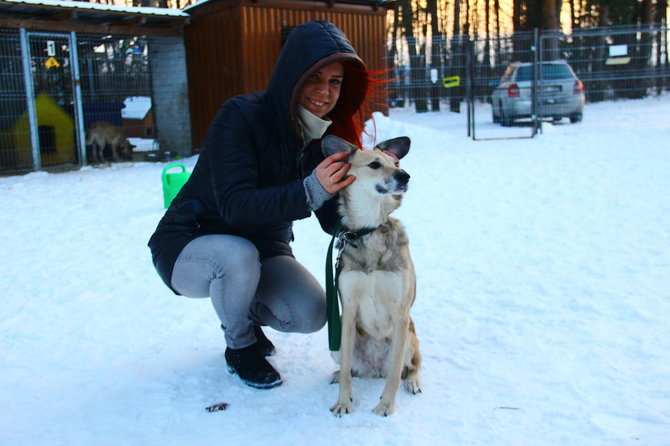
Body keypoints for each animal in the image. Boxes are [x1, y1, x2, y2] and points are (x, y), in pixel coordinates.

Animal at [322, 134, 422, 416]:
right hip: (336, 343)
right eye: (375, 164)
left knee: (409, 367)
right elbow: (347, 371)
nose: (405, 176)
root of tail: (374, 369)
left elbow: (395, 375)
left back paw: (412, 381)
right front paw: (343, 402)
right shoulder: (347, 312)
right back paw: (337, 375)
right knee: (350, 369)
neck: (370, 229)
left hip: (409, 339)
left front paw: (386, 405)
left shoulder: (400, 314)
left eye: (396, 162)